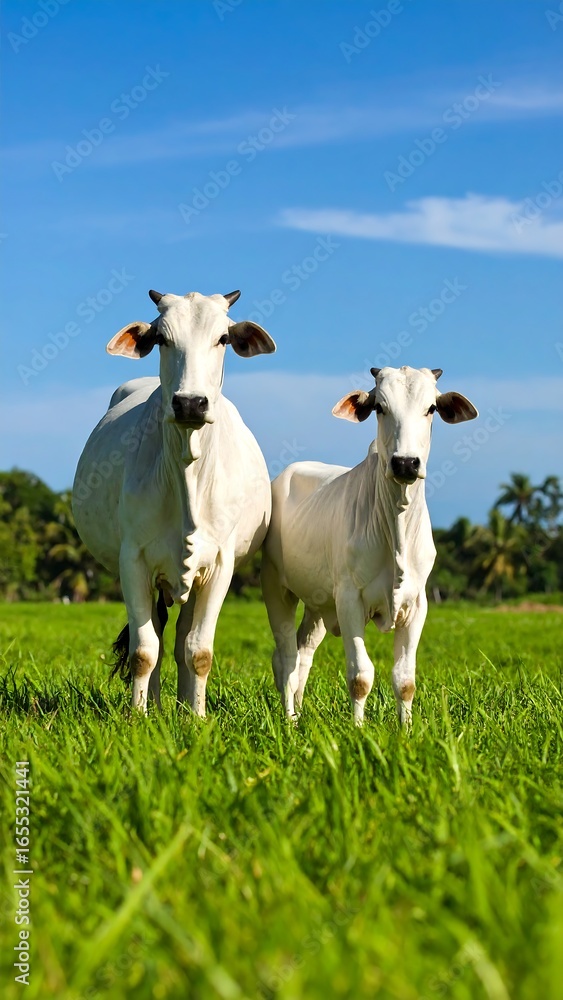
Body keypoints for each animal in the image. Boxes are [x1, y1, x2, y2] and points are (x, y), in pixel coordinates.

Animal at [72, 288, 276, 716]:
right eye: (161, 339)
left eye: (223, 338)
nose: (190, 403)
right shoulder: (133, 561)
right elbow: (143, 651)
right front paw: (137, 716)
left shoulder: (219, 566)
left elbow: (199, 651)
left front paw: (197, 718)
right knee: (159, 637)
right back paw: (156, 705)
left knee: (182, 639)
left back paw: (183, 707)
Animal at [261, 365, 478, 726]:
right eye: (379, 407)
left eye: (432, 408)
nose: (405, 463)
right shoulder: (349, 600)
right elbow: (360, 676)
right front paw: (358, 728)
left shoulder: (417, 604)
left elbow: (405, 680)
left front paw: (405, 730)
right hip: (277, 588)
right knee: (286, 658)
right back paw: (290, 720)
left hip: (319, 604)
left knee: (304, 653)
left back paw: (301, 713)